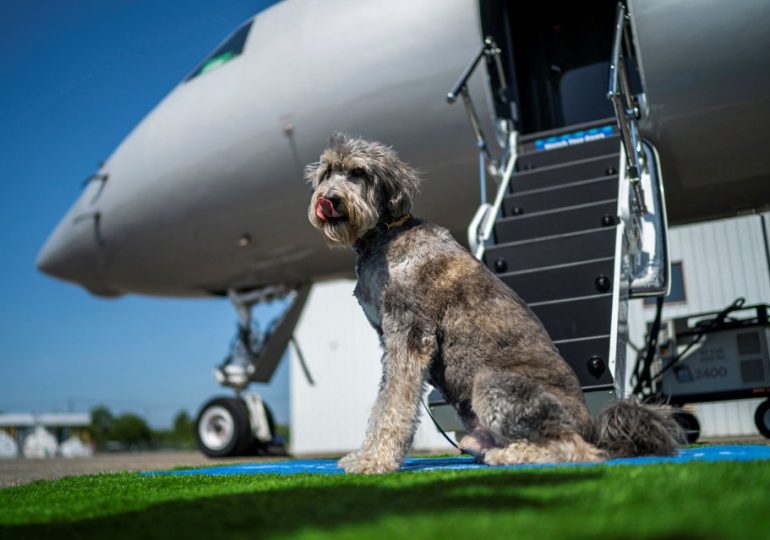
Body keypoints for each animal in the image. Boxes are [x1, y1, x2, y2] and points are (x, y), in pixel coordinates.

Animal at [306, 134, 680, 472]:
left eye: (358, 173)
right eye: (327, 173)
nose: (329, 199)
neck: (386, 234)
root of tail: (591, 426)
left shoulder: (409, 334)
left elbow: (394, 404)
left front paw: (375, 460)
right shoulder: (390, 338)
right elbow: (386, 399)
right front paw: (366, 455)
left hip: (492, 383)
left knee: (575, 449)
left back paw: (509, 456)